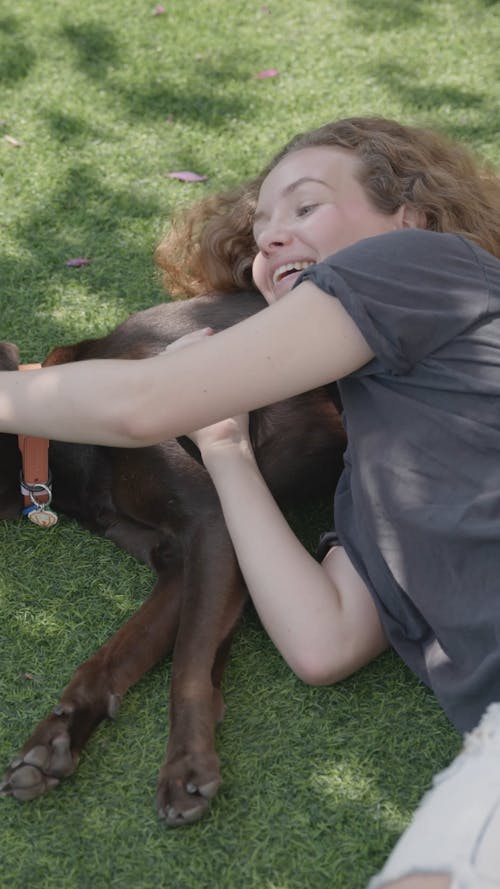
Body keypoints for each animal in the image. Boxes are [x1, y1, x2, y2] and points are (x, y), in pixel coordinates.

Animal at [0, 292, 344, 824]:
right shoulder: (176, 560)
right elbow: (109, 659)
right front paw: (57, 737)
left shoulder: (213, 523)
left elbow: (187, 661)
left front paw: (187, 764)